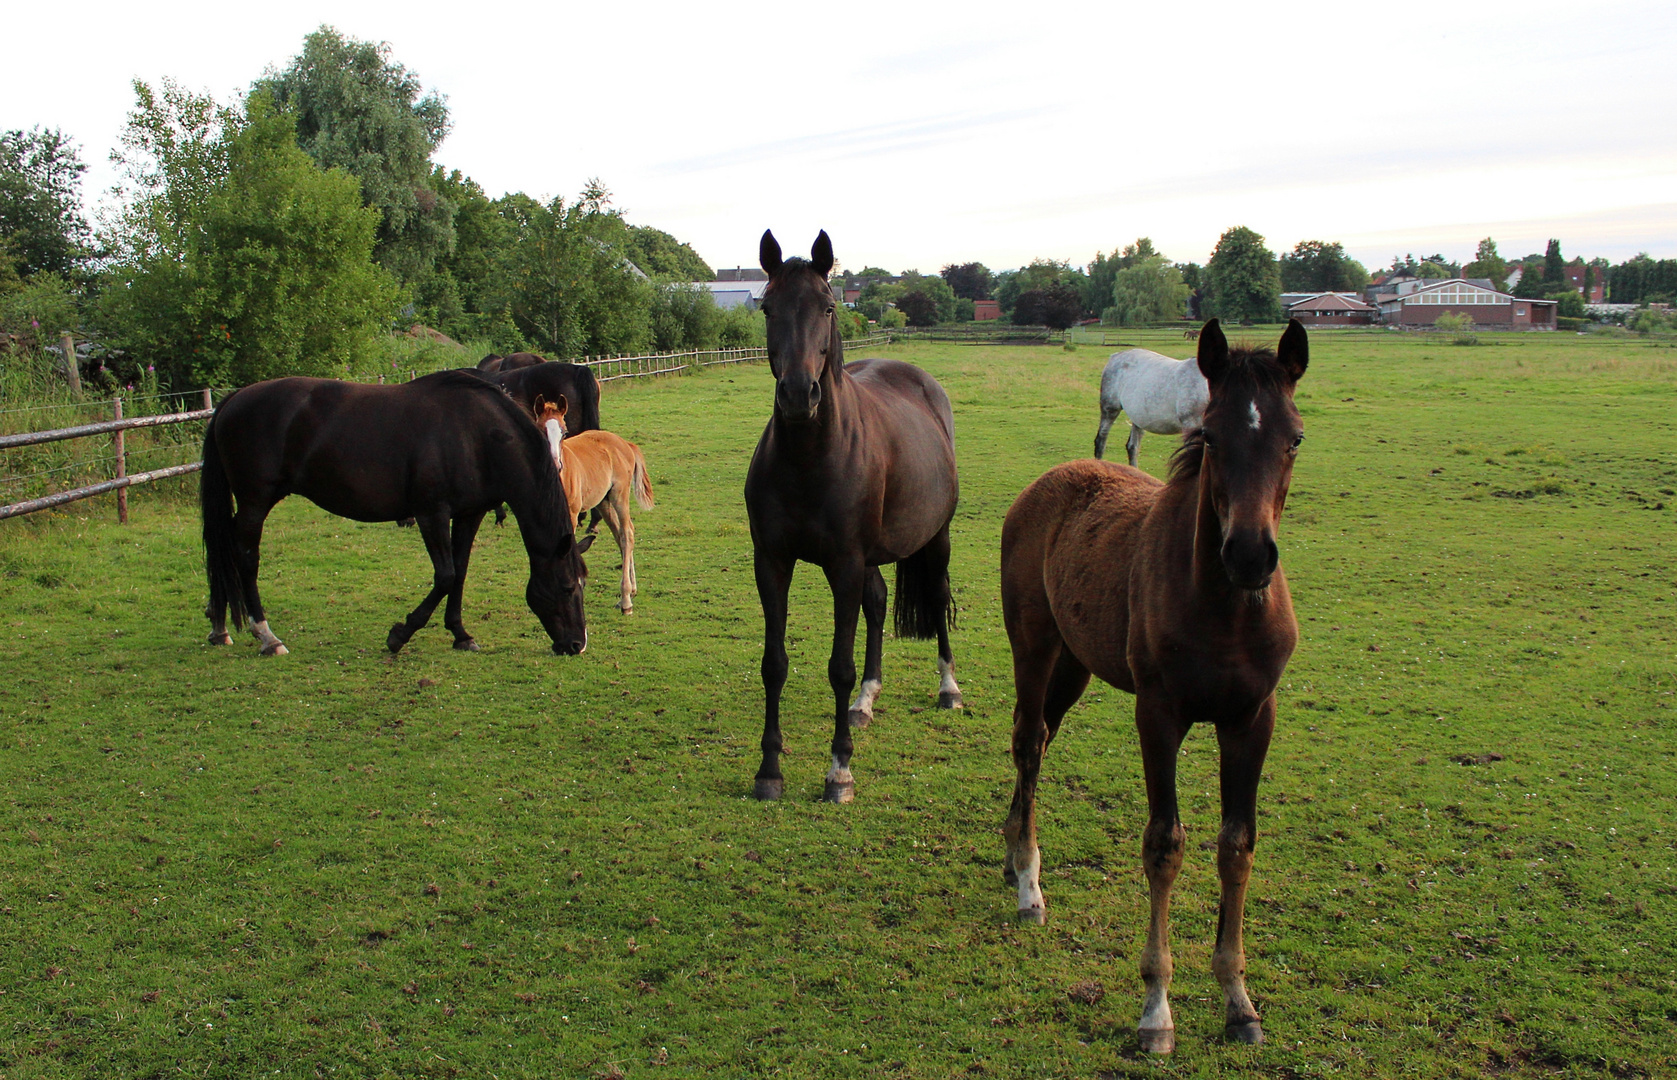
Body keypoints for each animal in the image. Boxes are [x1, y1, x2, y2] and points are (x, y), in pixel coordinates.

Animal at [202, 370, 597, 657]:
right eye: (566, 587)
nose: (576, 645)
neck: (477, 435)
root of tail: (235, 398)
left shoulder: (469, 514)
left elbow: (460, 572)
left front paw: (460, 634)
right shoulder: (430, 514)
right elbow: (446, 576)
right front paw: (400, 634)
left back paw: (219, 626)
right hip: (255, 503)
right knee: (244, 557)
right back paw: (267, 636)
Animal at [744, 231, 965, 804]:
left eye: (827, 306)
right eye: (768, 307)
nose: (798, 394)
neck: (809, 457)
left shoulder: (843, 563)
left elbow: (838, 668)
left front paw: (838, 771)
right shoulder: (771, 563)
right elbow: (774, 664)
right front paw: (769, 770)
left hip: (936, 538)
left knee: (936, 597)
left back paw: (948, 689)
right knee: (878, 603)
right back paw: (866, 702)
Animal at [992, 318, 1308, 1053]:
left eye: (1294, 438)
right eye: (1211, 436)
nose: (1249, 555)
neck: (1223, 610)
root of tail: (1048, 480)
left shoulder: (1252, 718)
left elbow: (1236, 846)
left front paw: (1238, 1002)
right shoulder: (1159, 714)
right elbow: (1164, 845)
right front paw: (1156, 1009)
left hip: (1075, 664)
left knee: (1041, 739)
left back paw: (1014, 853)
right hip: (1035, 647)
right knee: (1027, 742)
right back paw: (1028, 883)